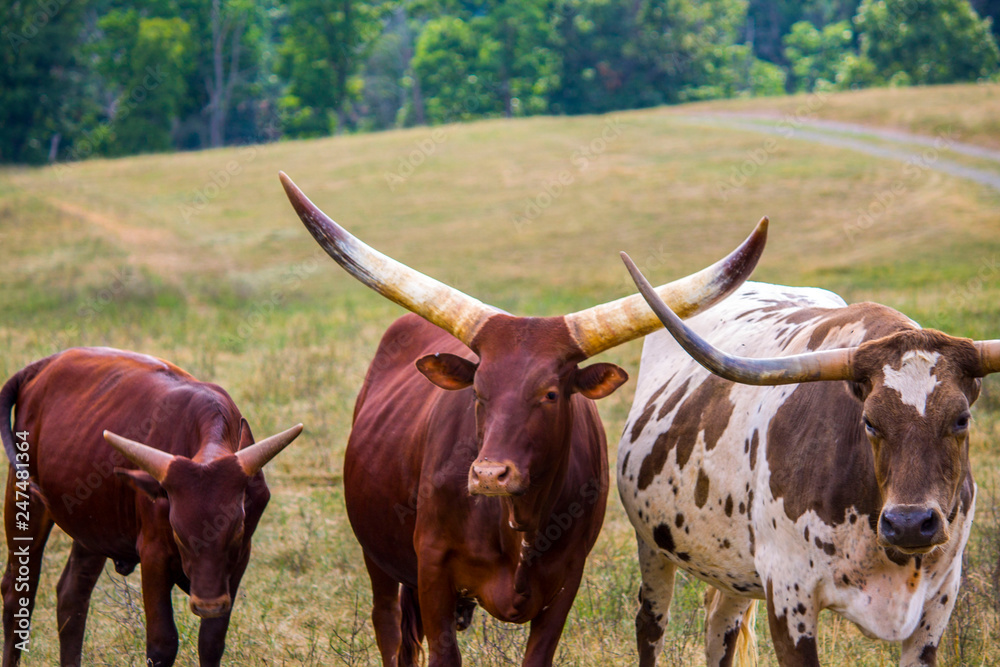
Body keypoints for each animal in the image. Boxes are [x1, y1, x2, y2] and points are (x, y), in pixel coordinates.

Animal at [0, 347, 303, 667]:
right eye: (178, 532)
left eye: (236, 530)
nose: (208, 605)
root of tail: (44, 363)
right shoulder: (154, 555)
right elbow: (162, 642)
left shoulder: (238, 559)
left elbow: (211, 641)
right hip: (23, 496)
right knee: (18, 592)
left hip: (94, 525)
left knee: (72, 594)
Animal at [279, 171, 768, 666]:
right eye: (478, 391)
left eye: (550, 393)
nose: (489, 475)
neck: (517, 520)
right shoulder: (432, 571)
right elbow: (440, 652)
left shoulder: (566, 581)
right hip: (376, 558)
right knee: (389, 628)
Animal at [619, 254, 1000, 667]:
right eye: (869, 421)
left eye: (961, 419)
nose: (910, 524)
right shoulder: (788, 595)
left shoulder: (939, 602)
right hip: (652, 545)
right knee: (651, 623)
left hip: (735, 566)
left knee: (721, 625)